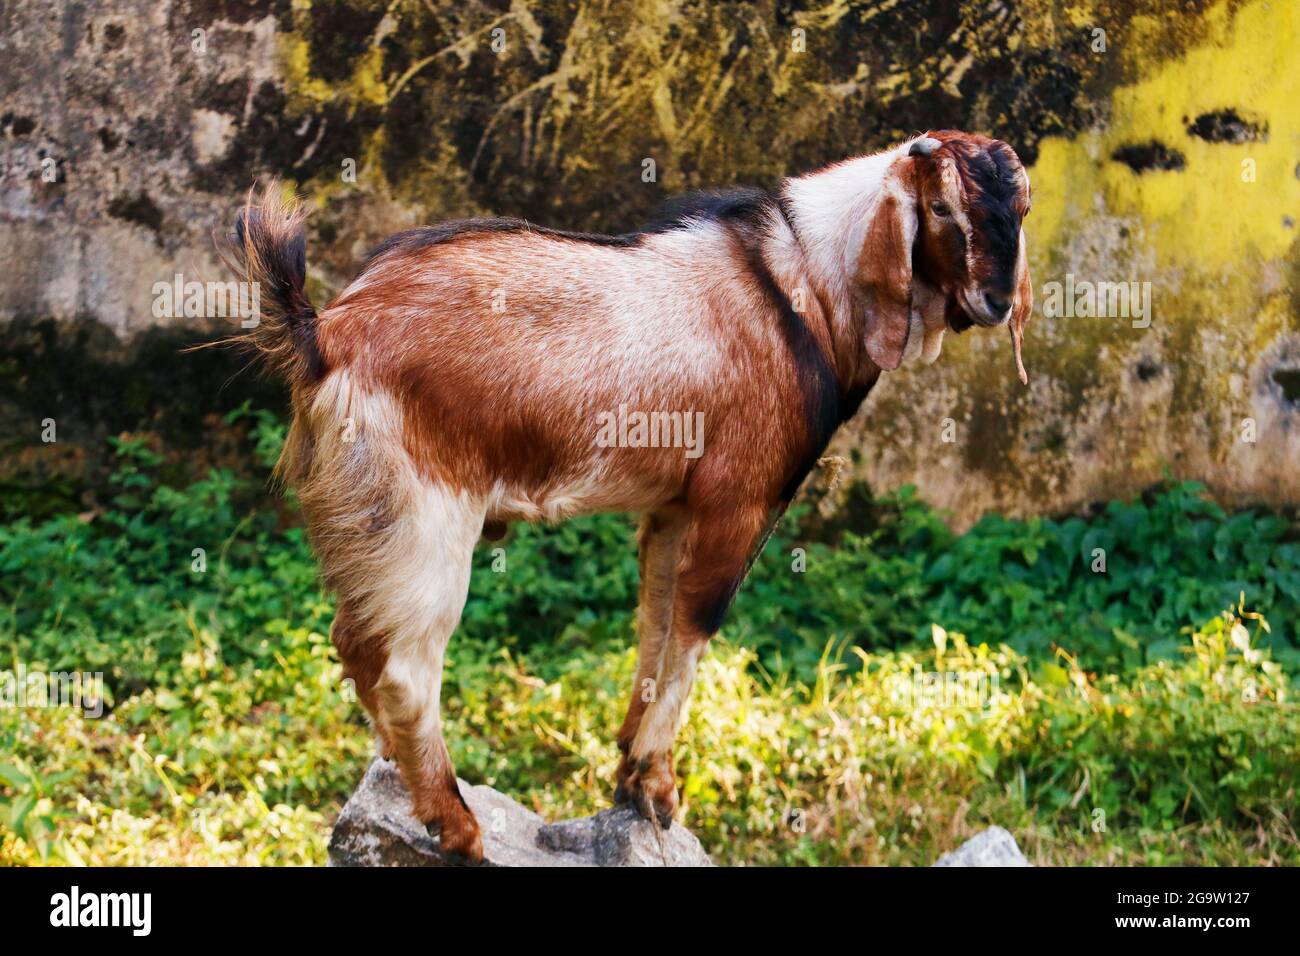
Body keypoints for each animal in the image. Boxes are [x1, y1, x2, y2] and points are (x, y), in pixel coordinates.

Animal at [225, 130, 1033, 863]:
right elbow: (694, 634)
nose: (996, 301)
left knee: (356, 643)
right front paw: (657, 789)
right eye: (941, 208)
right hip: (425, 522)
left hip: (372, 528)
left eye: (1021, 206)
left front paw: (626, 775)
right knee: (405, 670)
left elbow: (656, 620)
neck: (806, 286)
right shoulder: (737, 505)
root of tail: (327, 335)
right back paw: (457, 828)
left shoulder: (673, 509)